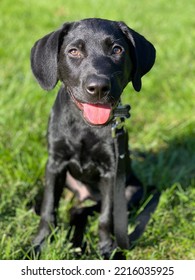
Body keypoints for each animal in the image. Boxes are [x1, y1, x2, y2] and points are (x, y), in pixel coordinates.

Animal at [30, 17, 155, 258]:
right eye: (74, 51)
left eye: (117, 50)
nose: (98, 88)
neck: (84, 126)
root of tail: (85, 195)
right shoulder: (55, 163)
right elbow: (49, 209)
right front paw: (39, 244)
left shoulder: (111, 172)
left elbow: (106, 217)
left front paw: (106, 248)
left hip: (131, 190)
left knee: (84, 211)